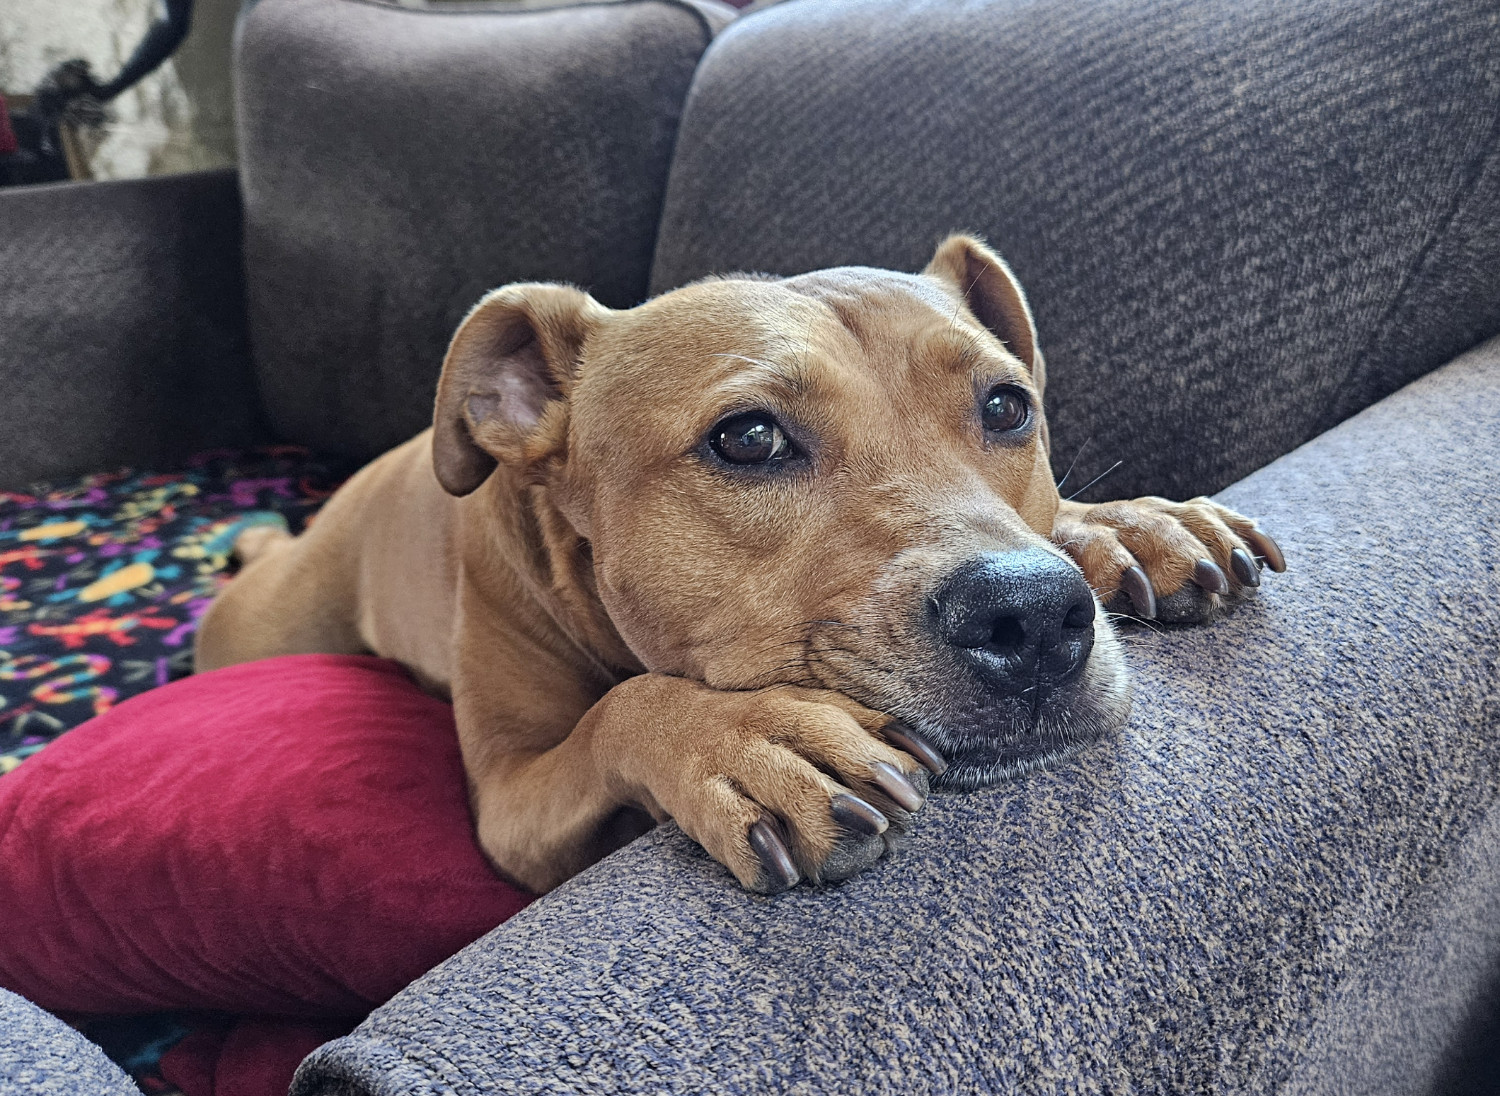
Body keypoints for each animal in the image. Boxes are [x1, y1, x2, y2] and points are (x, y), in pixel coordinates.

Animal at [193, 235, 1284, 893]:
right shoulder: (509, 803)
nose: (1034, 615)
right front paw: (747, 738)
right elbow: (618, 710)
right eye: (749, 439)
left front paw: (1124, 526)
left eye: (1008, 406)